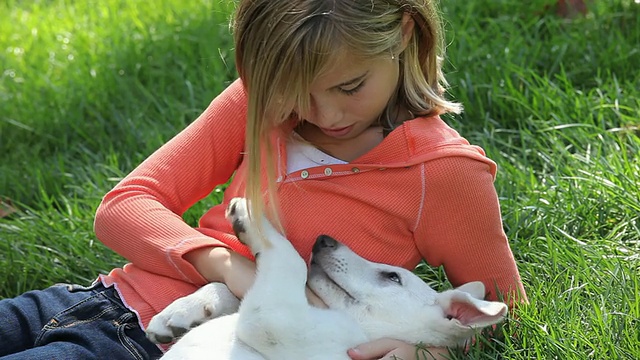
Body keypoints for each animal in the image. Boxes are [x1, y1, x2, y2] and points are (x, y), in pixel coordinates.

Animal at [146, 198, 510, 358]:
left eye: (392, 277)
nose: (323, 239)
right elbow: (225, 287)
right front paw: (180, 313)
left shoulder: (274, 321)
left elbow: (289, 259)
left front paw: (250, 215)